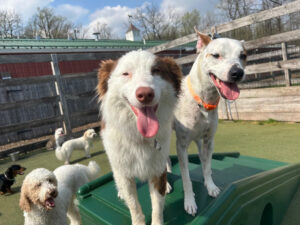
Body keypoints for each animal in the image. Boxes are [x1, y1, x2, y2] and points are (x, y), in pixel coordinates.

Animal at [98, 50, 182, 224]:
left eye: (156, 70)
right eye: (126, 73)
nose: (145, 94)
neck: (139, 135)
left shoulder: (157, 168)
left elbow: (157, 205)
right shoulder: (124, 170)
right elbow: (134, 205)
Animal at [172, 28, 247, 216]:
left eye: (243, 55)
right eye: (216, 55)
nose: (237, 73)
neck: (203, 100)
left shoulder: (209, 140)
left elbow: (206, 165)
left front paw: (211, 186)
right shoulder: (181, 145)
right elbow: (186, 178)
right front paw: (189, 201)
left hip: (200, 140)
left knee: (203, 157)